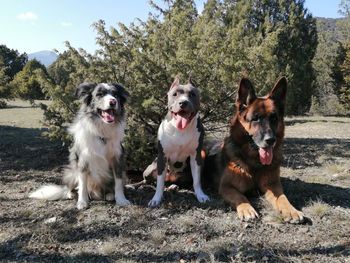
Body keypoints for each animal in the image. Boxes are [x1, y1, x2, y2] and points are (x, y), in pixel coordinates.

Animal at [29, 82, 131, 210]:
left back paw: (109, 194)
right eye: (99, 94)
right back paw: (71, 194)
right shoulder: (82, 160)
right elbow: (82, 185)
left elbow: (118, 182)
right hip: (71, 172)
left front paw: (121, 199)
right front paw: (82, 202)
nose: (113, 102)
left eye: (116, 95)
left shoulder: (117, 159)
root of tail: (95, 192)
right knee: (72, 187)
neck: (101, 131)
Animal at [147, 77, 209, 207]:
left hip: (202, 156)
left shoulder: (196, 155)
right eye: (175, 94)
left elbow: (197, 180)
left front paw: (201, 195)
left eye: (192, 94)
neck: (180, 129)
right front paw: (156, 199)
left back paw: (174, 186)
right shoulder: (162, 157)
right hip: (153, 166)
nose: (183, 103)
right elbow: (160, 182)